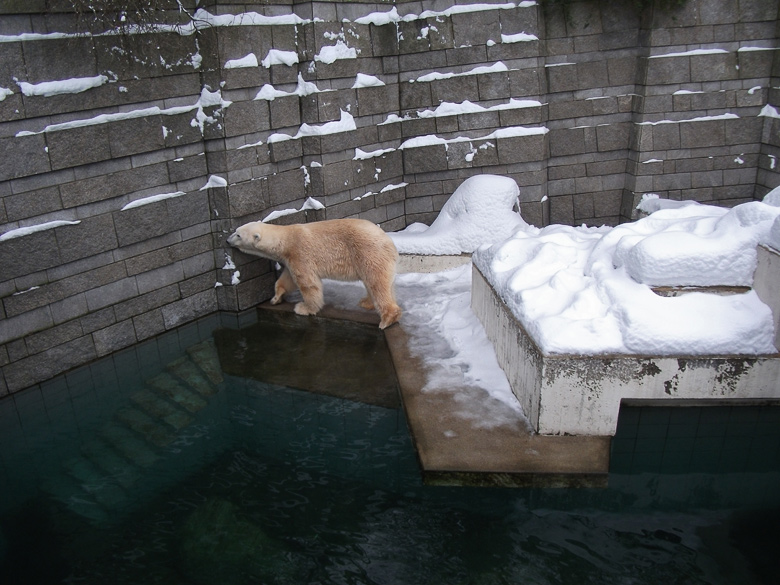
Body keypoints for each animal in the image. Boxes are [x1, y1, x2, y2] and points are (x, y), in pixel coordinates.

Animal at [227, 218, 402, 328]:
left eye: (238, 234)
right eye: (236, 231)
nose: (227, 240)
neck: (286, 239)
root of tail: (389, 241)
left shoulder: (299, 254)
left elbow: (307, 283)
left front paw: (304, 308)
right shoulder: (290, 259)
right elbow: (287, 279)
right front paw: (275, 298)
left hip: (368, 253)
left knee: (377, 283)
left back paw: (387, 319)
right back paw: (366, 302)